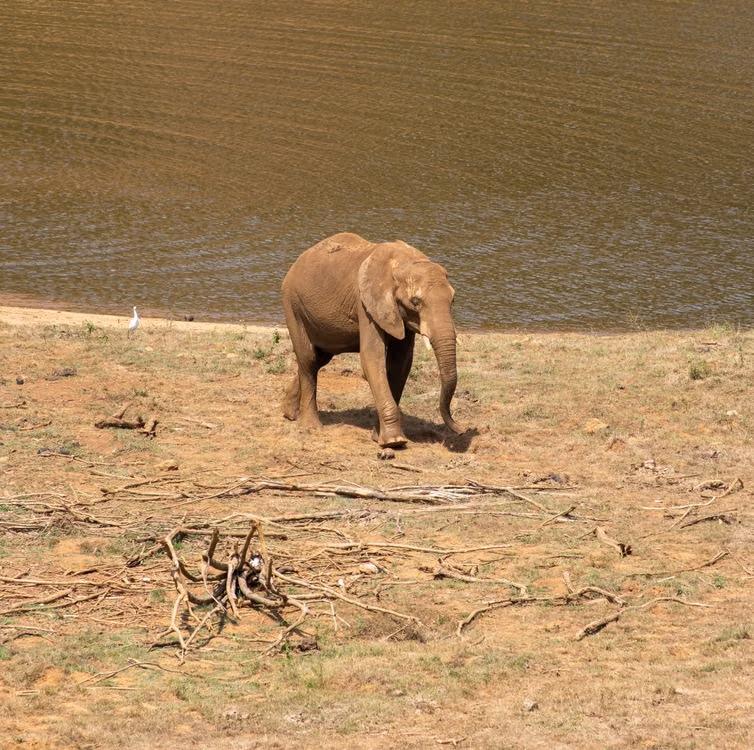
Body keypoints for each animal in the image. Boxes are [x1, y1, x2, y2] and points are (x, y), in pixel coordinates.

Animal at [281, 232, 464, 447]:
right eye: (416, 302)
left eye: (453, 300)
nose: (461, 430)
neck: (404, 262)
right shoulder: (366, 304)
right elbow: (372, 359)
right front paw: (394, 442)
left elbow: (400, 363)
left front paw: (379, 436)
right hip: (293, 304)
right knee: (308, 359)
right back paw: (311, 426)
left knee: (319, 359)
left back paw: (289, 413)